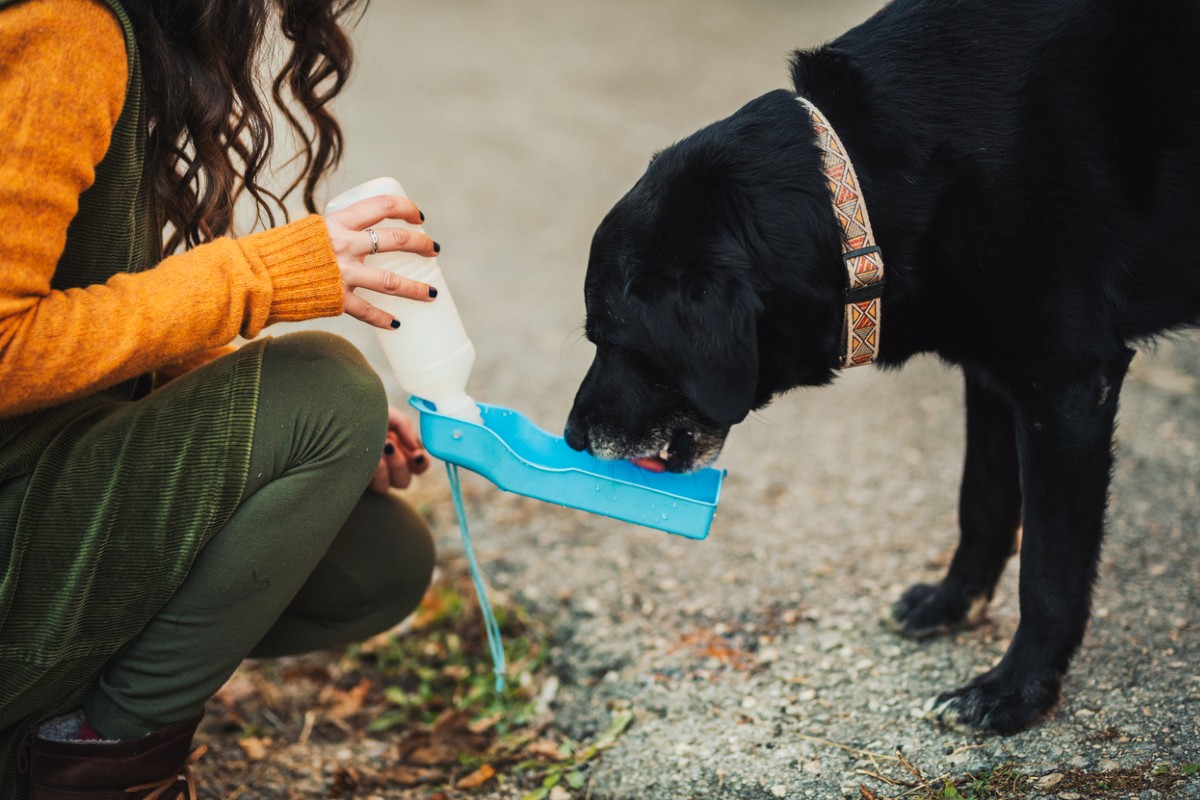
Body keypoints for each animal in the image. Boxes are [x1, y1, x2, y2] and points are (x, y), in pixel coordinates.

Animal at [561, 0, 1200, 734]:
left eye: (611, 337)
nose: (570, 438)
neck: (865, 191)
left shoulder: (1066, 386)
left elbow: (1047, 568)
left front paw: (1015, 693)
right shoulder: (994, 374)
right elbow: (980, 499)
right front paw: (953, 601)